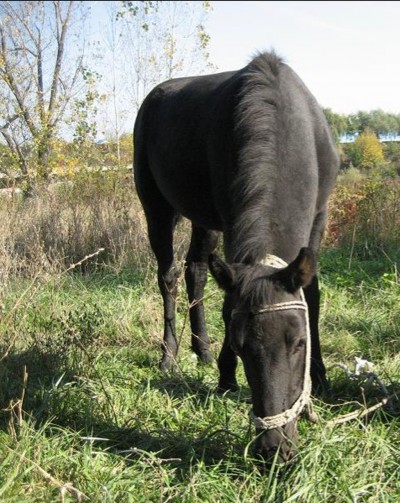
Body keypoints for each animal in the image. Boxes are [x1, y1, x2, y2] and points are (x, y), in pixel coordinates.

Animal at [133, 51, 340, 464]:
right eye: (242, 346)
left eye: (300, 342)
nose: (274, 447)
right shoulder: (231, 221)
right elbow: (229, 301)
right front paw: (227, 376)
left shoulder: (319, 217)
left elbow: (312, 295)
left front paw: (321, 375)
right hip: (157, 207)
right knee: (169, 276)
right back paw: (171, 354)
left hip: (203, 219)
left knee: (196, 269)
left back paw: (202, 350)